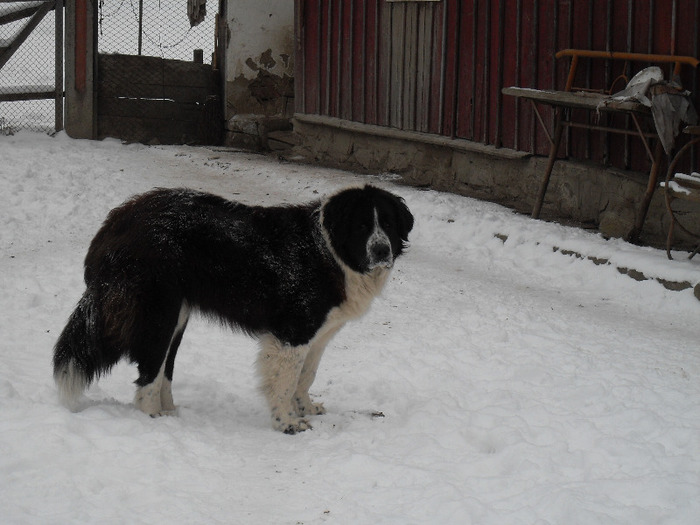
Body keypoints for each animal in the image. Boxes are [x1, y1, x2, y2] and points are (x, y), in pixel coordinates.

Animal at [56, 185, 416, 434]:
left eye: (388, 224)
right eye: (361, 227)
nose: (381, 250)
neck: (327, 249)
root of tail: (119, 218)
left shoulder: (319, 334)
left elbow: (306, 376)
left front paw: (305, 408)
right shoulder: (292, 333)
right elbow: (286, 381)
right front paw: (287, 423)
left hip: (178, 316)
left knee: (163, 370)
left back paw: (170, 412)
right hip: (160, 313)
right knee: (148, 372)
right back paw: (154, 420)